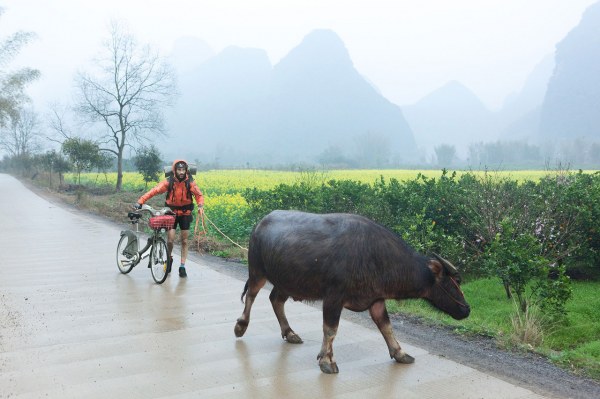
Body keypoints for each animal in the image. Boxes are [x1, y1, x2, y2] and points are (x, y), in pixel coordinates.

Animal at [233, 211, 468, 374]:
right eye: (454, 282)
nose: (466, 309)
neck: (376, 258)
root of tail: (259, 224)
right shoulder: (333, 298)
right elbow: (330, 330)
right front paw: (327, 361)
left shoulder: (376, 300)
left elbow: (386, 327)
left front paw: (400, 353)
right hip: (257, 271)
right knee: (252, 295)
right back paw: (241, 326)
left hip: (286, 281)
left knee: (276, 299)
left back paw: (290, 333)